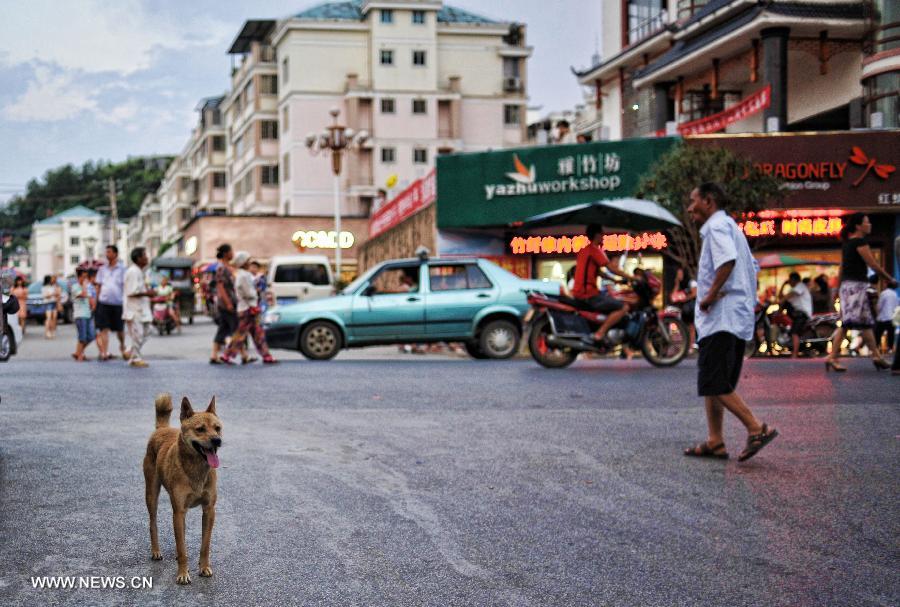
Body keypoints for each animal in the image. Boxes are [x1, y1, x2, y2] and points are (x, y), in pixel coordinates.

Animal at [144, 394, 223, 584]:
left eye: (217, 428)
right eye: (200, 429)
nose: (217, 440)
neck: (196, 469)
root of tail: (162, 429)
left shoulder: (209, 510)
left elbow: (205, 545)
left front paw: (204, 567)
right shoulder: (178, 511)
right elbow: (181, 547)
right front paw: (182, 573)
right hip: (151, 495)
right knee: (153, 523)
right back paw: (156, 551)